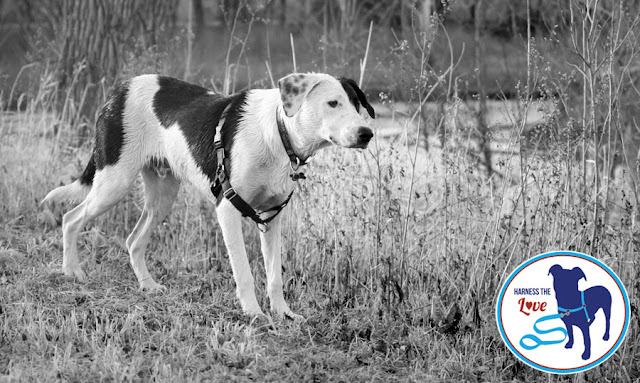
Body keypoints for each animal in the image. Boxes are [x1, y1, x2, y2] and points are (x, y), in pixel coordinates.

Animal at [42, 73, 376, 320]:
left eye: (357, 105)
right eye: (332, 103)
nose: (367, 134)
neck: (278, 133)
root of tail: (119, 90)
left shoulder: (271, 217)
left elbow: (274, 276)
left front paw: (283, 314)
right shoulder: (228, 207)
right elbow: (244, 273)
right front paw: (254, 314)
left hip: (162, 196)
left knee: (134, 240)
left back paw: (148, 286)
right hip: (114, 182)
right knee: (71, 218)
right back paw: (72, 271)